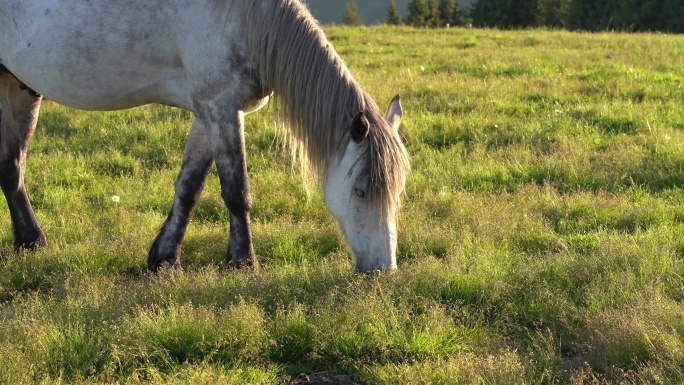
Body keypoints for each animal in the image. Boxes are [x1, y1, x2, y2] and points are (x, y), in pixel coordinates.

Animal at [0, 0, 408, 272]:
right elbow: (237, 191)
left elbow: (190, 186)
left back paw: (31, 243)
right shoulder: (221, 107)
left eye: (397, 192)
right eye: (360, 192)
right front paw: (243, 262)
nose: (383, 270)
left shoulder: (207, 114)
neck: (246, 18)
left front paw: (165, 258)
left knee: (12, 166)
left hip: (19, 88)